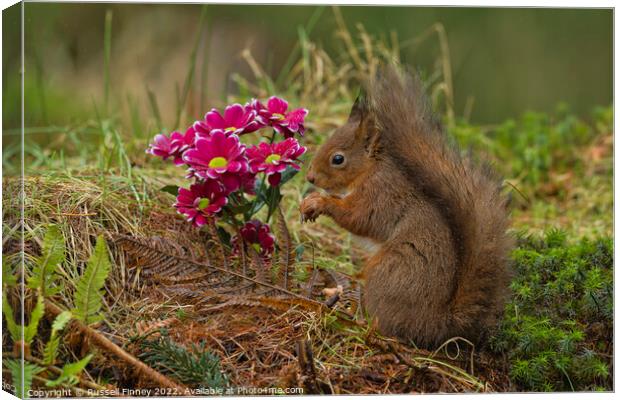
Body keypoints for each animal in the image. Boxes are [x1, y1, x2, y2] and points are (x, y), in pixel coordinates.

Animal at [300, 66, 512, 346]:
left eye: (338, 159)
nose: (310, 178)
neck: (370, 169)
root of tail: (436, 324)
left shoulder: (380, 195)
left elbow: (357, 218)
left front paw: (319, 202)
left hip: (390, 271)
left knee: (385, 324)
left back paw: (361, 318)